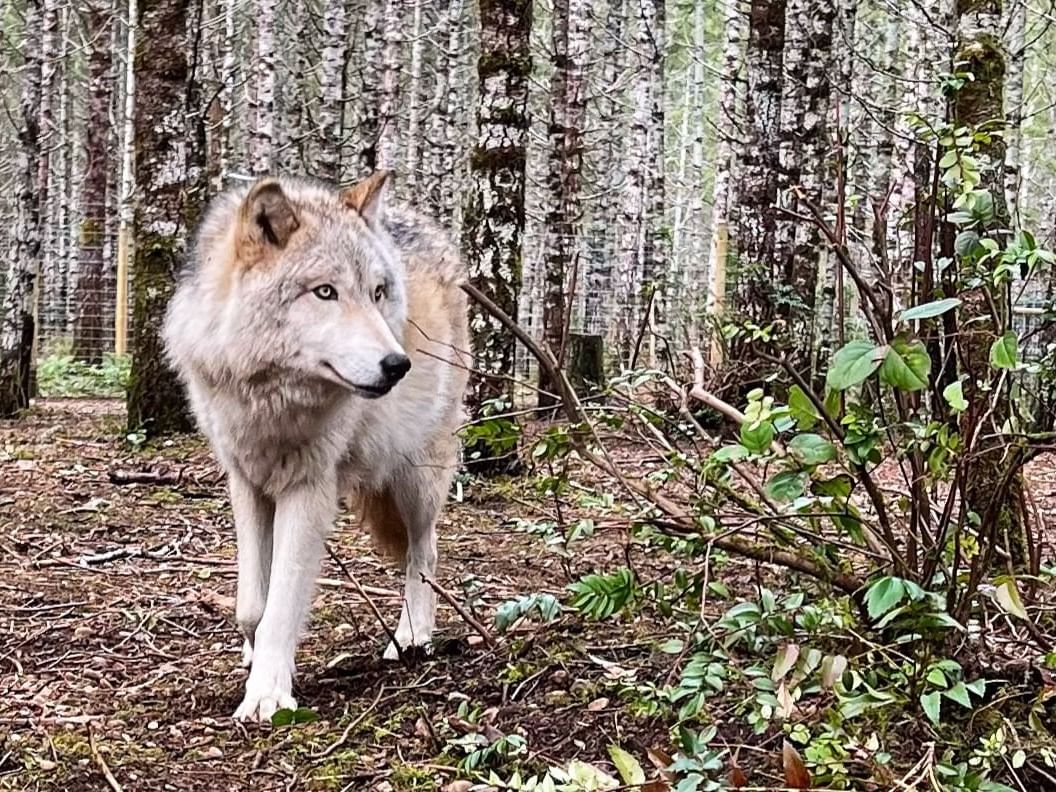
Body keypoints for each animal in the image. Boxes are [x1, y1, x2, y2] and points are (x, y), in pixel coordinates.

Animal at [161, 173, 470, 726]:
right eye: (325, 292)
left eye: (376, 293)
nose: (398, 365)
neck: (272, 398)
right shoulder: (246, 481)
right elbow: (251, 606)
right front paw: (256, 656)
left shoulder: (308, 490)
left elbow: (282, 604)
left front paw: (267, 695)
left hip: (416, 477)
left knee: (425, 550)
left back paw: (413, 636)